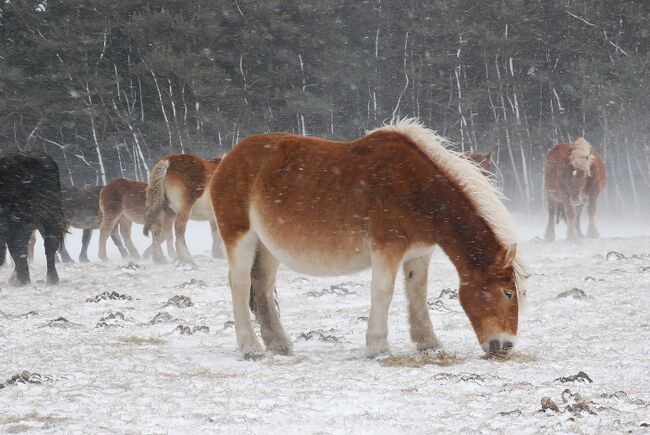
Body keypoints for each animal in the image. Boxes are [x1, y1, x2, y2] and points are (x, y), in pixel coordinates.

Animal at [210, 117, 528, 360]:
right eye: (507, 293)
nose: (504, 346)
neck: (416, 190)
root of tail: (227, 159)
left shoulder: (419, 253)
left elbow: (417, 293)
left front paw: (429, 345)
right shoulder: (387, 249)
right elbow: (383, 292)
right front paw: (378, 347)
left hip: (267, 247)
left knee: (262, 288)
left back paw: (279, 345)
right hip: (240, 237)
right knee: (240, 285)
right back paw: (250, 348)